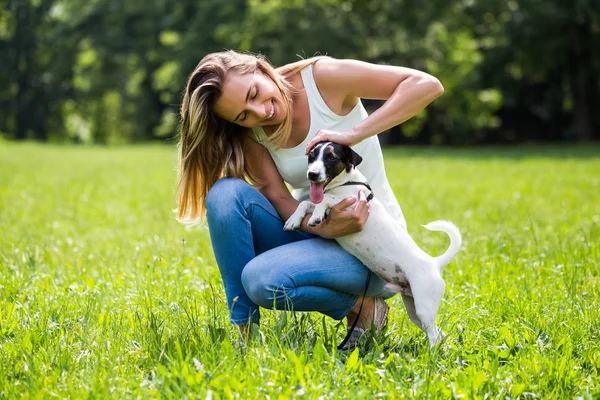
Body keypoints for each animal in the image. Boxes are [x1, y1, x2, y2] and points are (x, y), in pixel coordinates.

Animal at [284, 141, 462, 346]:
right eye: (311, 155)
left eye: (331, 157)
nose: (312, 174)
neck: (344, 184)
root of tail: (435, 263)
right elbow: (305, 203)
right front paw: (294, 220)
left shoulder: (353, 204)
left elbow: (325, 200)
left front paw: (316, 216)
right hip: (414, 308)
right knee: (439, 334)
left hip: (424, 305)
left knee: (433, 336)